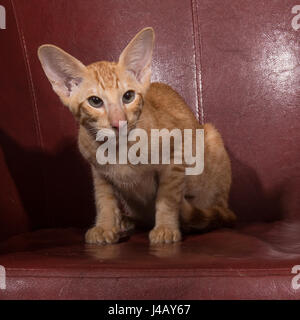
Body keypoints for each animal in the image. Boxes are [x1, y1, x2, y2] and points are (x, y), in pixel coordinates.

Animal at [37, 27, 236, 244]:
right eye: (95, 101)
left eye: (128, 96)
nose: (119, 123)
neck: (119, 150)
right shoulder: (98, 172)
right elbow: (104, 200)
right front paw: (105, 226)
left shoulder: (175, 156)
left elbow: (167, 198)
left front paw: (166, 227)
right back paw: (126, 221)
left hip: (212, 138)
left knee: (212, 214)